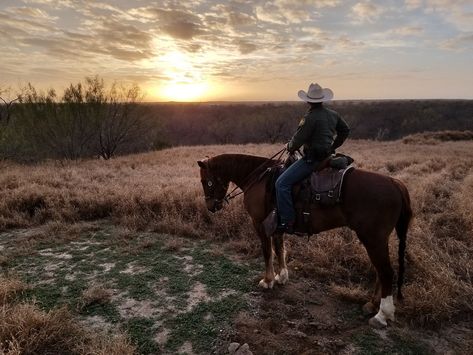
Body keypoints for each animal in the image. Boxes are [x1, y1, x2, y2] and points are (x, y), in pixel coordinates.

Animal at [195, 153, 410, 328]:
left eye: (206, 182)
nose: (211, 206)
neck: (258, 178)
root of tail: (395, 183)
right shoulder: (277, 223)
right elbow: (279, 248)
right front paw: (281, 276)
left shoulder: (259, 224)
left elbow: (267, 252)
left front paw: (268, 280)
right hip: (376, 240)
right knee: (380, 271)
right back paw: (372, 305)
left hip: (373, 238)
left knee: (386, 272)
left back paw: (382, 315)